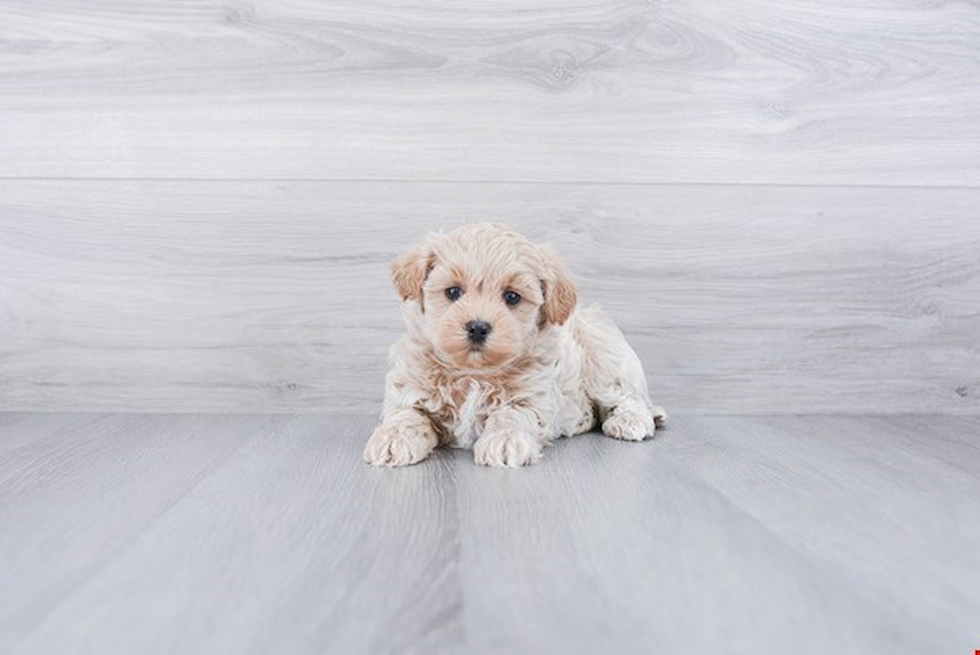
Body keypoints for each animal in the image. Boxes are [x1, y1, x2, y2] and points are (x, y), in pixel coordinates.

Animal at [362, 223, 668, 468]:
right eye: (453, 292)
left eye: (512, 297)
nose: (477, 327)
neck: (473, 372)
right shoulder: (409, 389)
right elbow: (407, 414)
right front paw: (392, 438)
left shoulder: (534, 397)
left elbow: (513, 414)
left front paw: (504, 440)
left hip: (605, 358)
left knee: (628, 398)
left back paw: (630, 421)